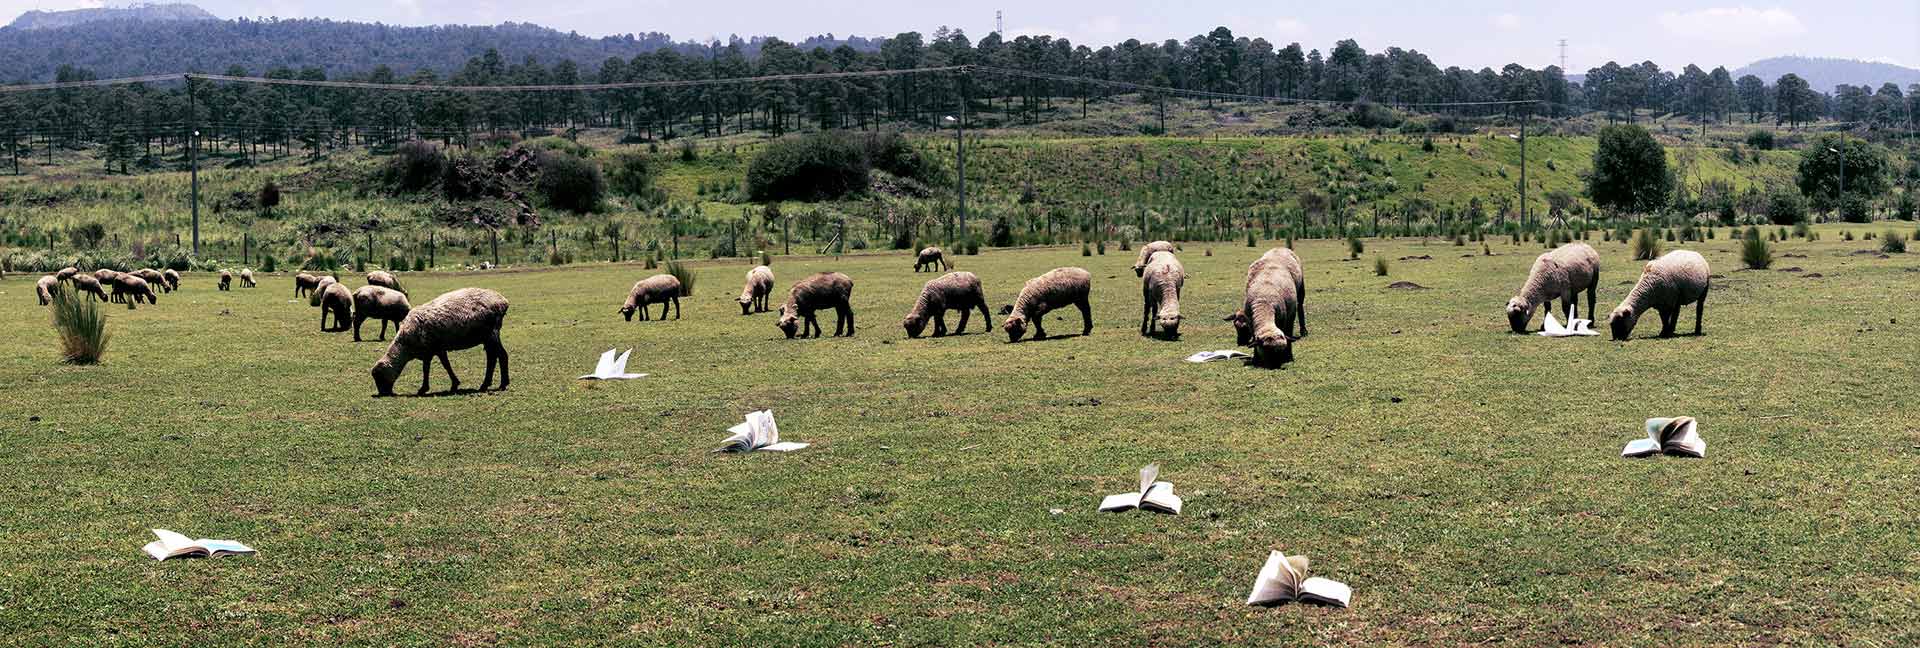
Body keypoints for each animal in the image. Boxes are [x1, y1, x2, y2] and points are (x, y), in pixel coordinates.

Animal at [370, 287, 510, 396]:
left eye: (379, 377)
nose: (383, 393)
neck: (405, 346)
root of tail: (503, 301)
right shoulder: (436, 349)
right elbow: (442, 365)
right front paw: (454, 384)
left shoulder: (430, 349)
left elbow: (429, 368)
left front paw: (423, 389)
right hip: (487, 337)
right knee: (492, 357)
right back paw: (487, 384)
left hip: (491, 334)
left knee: (501, 355)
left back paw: (501, 384)